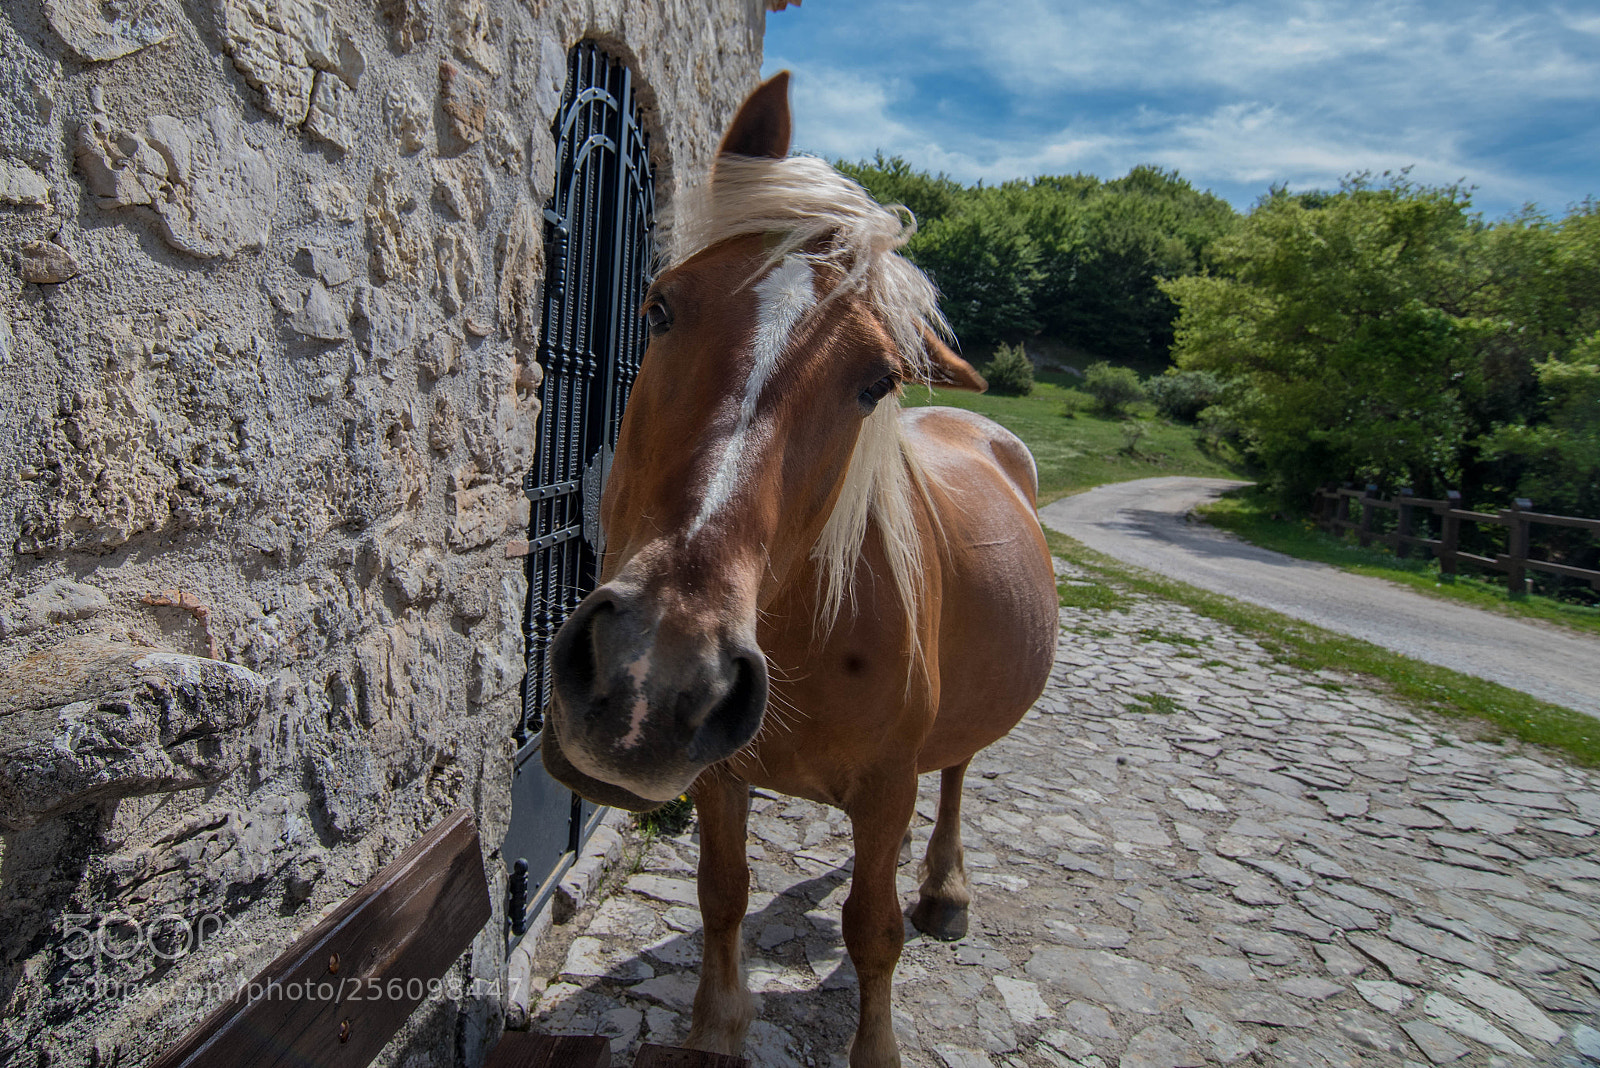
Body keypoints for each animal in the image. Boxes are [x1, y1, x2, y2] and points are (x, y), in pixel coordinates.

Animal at [540, 72, 1059, 1068]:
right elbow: (723, 894)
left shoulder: (888, 789)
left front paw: (877, 1045)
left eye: (877, 382)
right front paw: (715, 1031)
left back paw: (944, 889)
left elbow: (873, 933)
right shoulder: (717, 776)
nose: (649, 681)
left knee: (956, 777)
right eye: (659, 306)